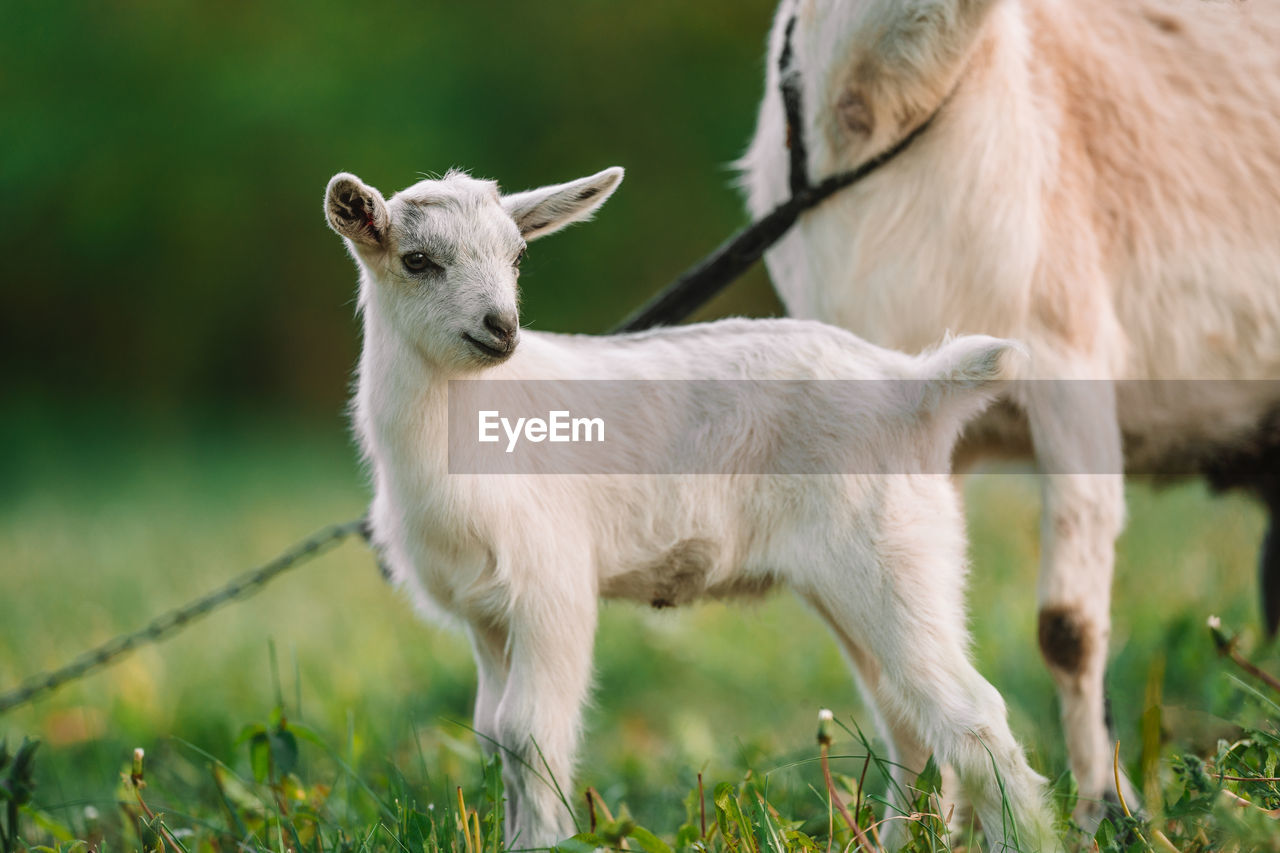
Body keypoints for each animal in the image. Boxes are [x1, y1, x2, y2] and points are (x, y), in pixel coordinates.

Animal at [325, 162, 1054, 845]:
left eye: (518, 255)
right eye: (417, 260)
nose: (501, 329)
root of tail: (915, 385)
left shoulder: (551, 587)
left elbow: (530, 732)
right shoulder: (486, 614)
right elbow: (492, 732)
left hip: (891, 558)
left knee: (972, 715)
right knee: (910, 726)